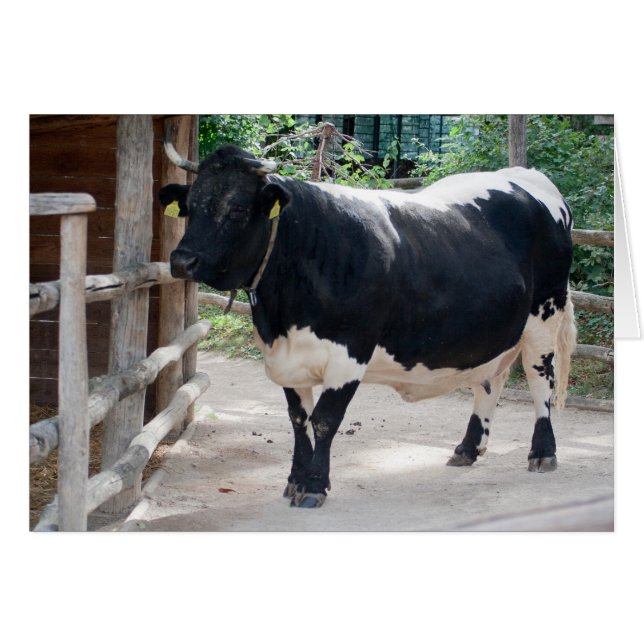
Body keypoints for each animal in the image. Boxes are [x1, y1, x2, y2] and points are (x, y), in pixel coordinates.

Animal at [160, 135, 577, 509]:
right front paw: (294, 480)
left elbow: (325, 419)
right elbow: (298, 418)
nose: (182, 260)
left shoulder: (350, 352)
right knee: (491, 380)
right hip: (497, 330)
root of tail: (527, 175)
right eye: (190, 206)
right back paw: (468, 448)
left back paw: (543, 452)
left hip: (546, 311)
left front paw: (313, 486)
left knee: (540, 377)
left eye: (237, 209)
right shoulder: (288, 358)